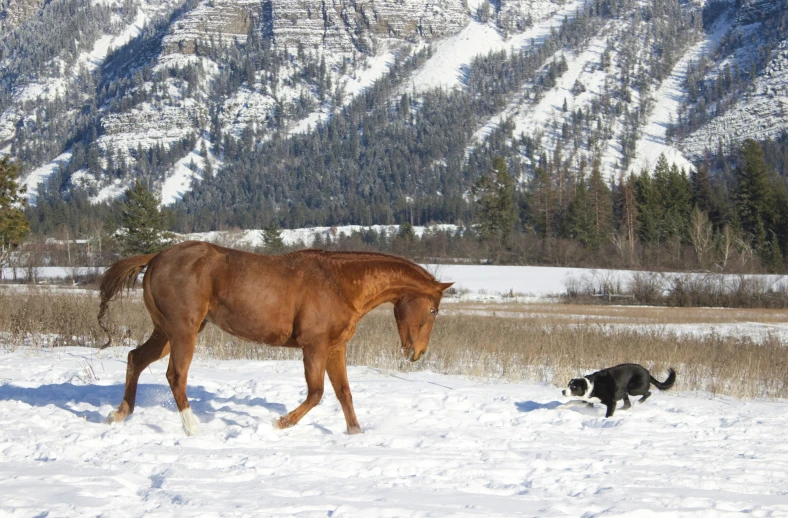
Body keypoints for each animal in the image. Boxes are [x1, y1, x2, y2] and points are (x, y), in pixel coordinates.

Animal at [96, 242, 452, 436]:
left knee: (135, 358)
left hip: (168, 332)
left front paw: (355, 433)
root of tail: (156, 257)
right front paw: (280, 423)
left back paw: (119, 414)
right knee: (175, 375)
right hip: (183, 331)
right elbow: (317, 393)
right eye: (434, 310)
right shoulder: (313, 346)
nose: (417, 353)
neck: (339, 284)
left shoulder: (335, 348)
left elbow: (344, 394)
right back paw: (192, 428)